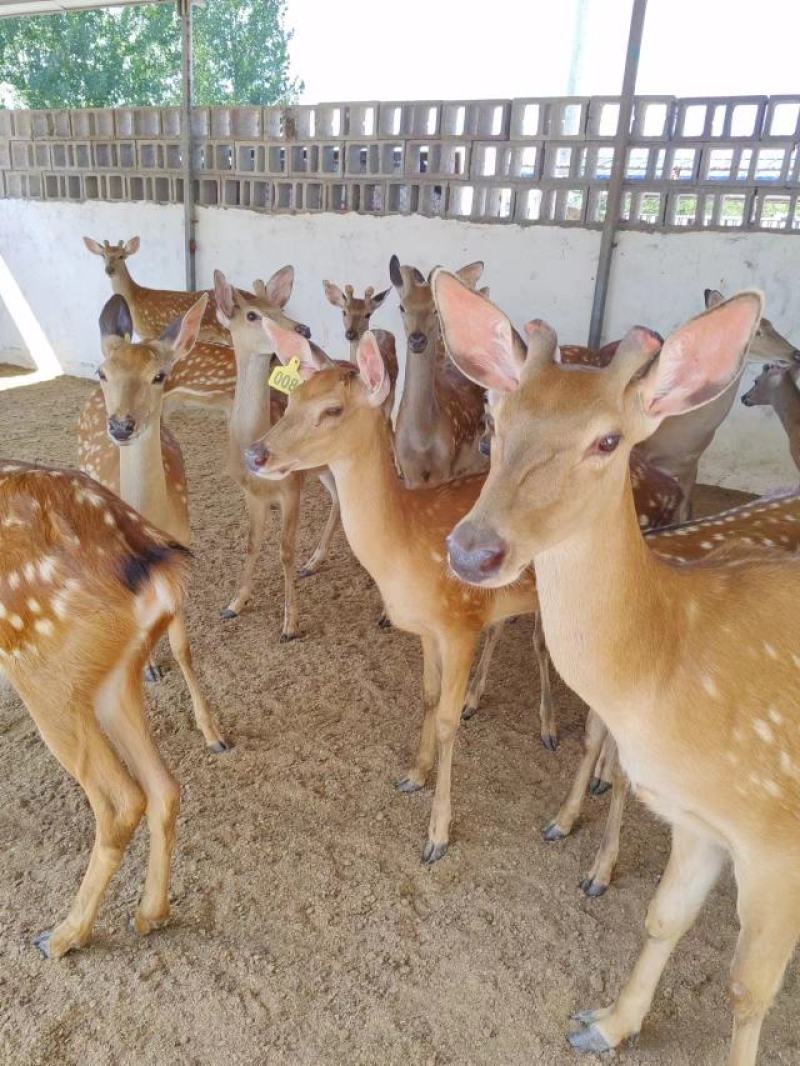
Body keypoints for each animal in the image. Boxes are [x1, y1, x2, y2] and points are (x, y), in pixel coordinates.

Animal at [0, 460, 191, 957]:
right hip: (115, 676)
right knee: (164, 787)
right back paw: (150, 915)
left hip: (44, 676)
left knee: (121, 799)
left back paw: (63, 935)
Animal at [212, 269, 342, 630]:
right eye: (252, 314)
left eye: (280, 308)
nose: (303, 330)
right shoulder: (251, 494)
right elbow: (251, 544)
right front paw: (234, 604)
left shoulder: (291, 488)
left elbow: (285, 551)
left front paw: (290, 623)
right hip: (323, 468)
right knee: (339, 498)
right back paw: (313, 562)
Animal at [389, 255, 488, 488]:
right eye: (402, 307)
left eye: (435, 308)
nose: (417, 339)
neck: (422, 441)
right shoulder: (409, 474)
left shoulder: (445, 468)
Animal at [437, 269, 799, 1066]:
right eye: (495, 420)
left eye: (608, 439)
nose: (473, 550)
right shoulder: (697, 819)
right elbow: (663, 917)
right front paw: (605, 1023)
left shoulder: (775, 836)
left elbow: (747, 989)